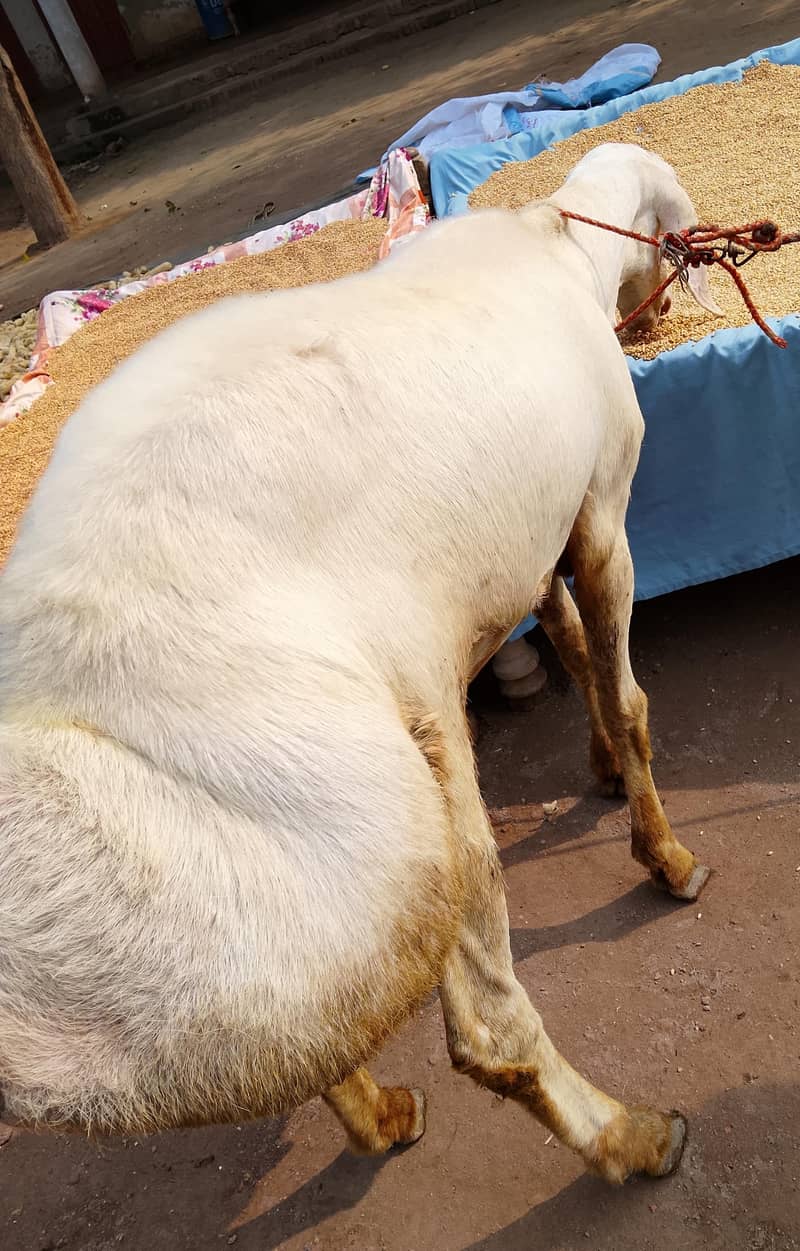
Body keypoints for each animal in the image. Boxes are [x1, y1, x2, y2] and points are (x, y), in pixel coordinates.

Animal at [0, 143, 715, 1185]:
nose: (656, 321)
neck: (552, 234)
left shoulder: (525, 545)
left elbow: (573, 647)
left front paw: (600, 773)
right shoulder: (600, 508)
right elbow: (626, 693)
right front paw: (667, 857)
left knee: (302, 1033)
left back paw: (382, 1116)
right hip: (379, 802)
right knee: (483, 1028)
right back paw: (632, 1136)